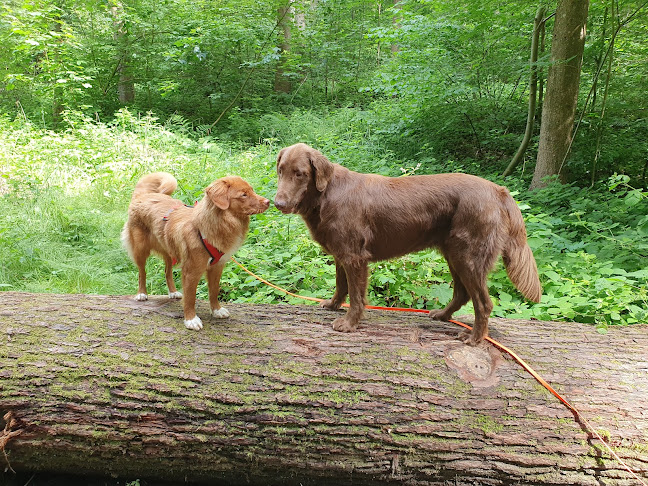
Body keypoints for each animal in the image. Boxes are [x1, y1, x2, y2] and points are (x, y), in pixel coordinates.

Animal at [123, 172, 270, 330]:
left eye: (252, 190)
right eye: (243, 194)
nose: (268, 202)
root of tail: (144, 195)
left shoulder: (217, 267)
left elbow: (214, 291)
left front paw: (216, 310)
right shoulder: (191, 271)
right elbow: (191, 297)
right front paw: (191, 319)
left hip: (169, 249)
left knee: (167, 271)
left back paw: (173, 292)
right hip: (140, 250)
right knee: (142, 273)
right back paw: (141, 294)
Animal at [274, 144, 540, 346]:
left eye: (300, 173)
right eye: (280, 170)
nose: (278, 203)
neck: (326, 194)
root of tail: (498, 190)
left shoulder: (354, 257)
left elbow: (357, 295)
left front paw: (349, 324)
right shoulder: (342, 255)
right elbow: (341, 286)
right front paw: (332, 305)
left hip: (469, 257)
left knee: (483, 303)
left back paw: (474, 338)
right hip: (454, 254)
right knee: (462, 293)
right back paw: (442, 315)